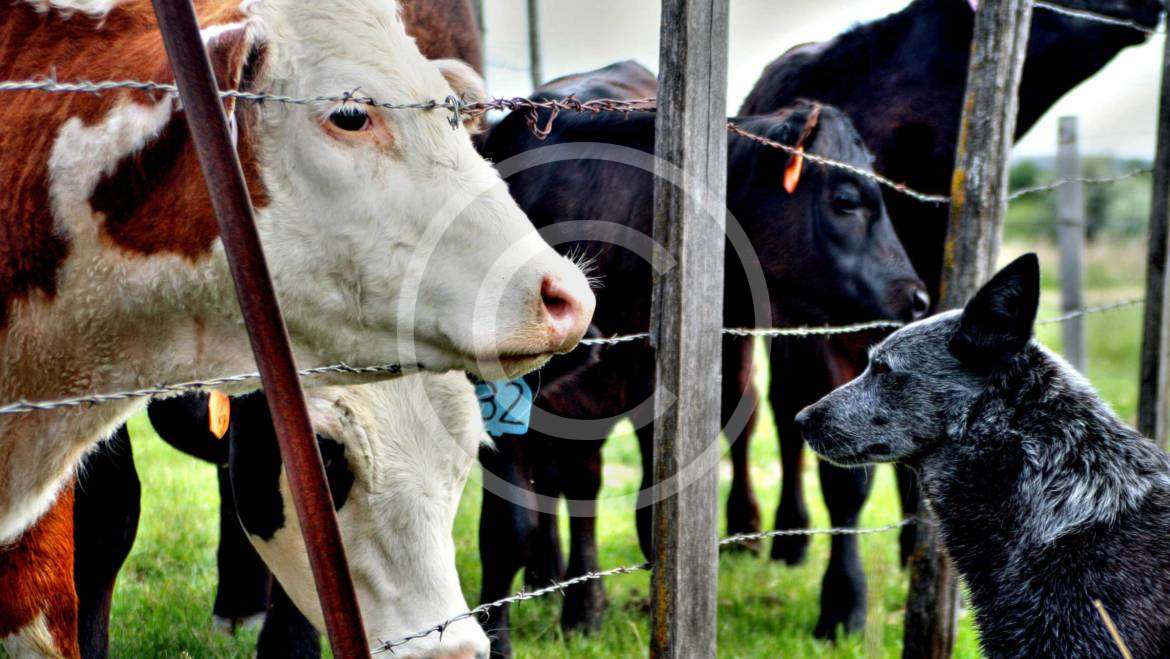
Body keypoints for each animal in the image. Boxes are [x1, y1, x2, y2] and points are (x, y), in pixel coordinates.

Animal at [736, 0, 1164, 618]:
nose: (1152, 8)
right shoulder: (825, 325)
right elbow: (845, 474)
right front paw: (843, 602)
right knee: (769, 416)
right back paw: (775, 536)